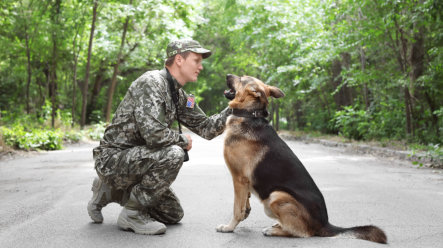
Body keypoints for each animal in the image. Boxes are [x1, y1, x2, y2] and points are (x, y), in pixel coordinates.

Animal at [217, 74, 386, 244]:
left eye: (242, 78)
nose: (227, 75)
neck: (249, 114)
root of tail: (324, 223)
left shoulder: (239, 179)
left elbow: (236, 209)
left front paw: (229, 227)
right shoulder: (245, 182)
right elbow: (244, 204)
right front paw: (244, 212)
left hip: (276, 196)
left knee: (303, 232)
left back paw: (274, 230)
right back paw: (277, 226)